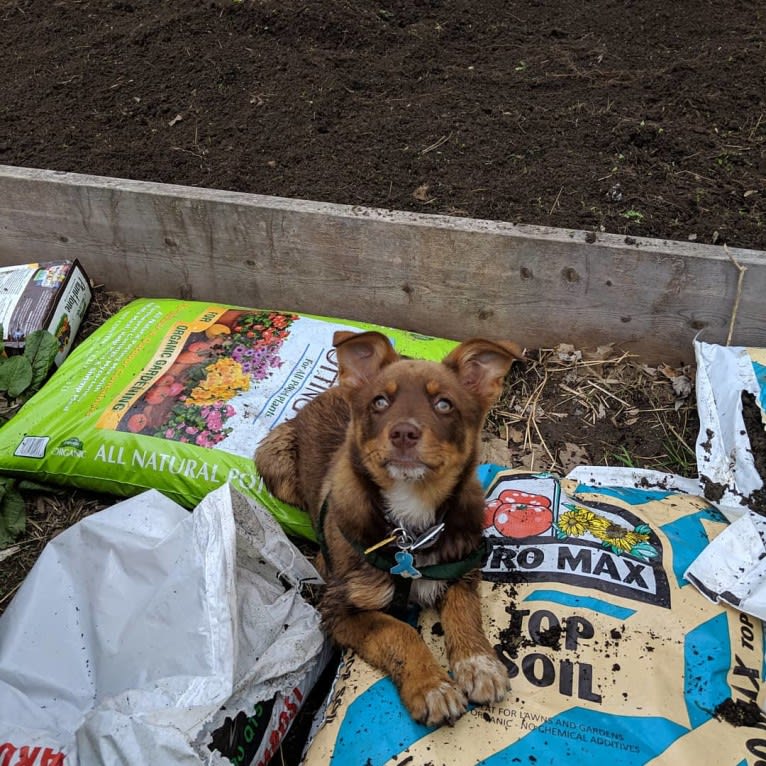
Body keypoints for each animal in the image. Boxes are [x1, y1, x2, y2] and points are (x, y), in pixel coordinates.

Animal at [255, 330, 524, 728]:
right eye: (380, 402)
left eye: (444, 404)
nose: (403, 433)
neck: (410, 530)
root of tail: (328, 391)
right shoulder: (338, 612)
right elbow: (398, 631)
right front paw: (431, 687)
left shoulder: (462, 566)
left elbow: (465, 610)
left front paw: (479, 664)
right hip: (273, 460)